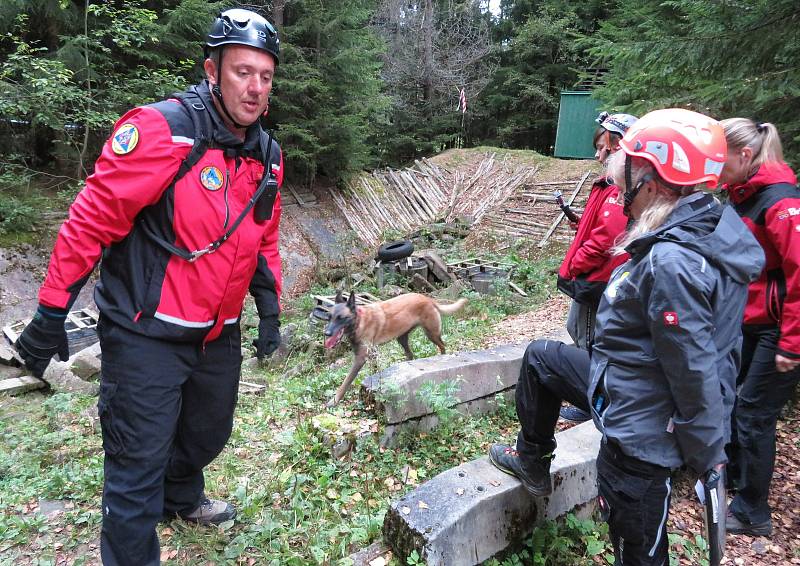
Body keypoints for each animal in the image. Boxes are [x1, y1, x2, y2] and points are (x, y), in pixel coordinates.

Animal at [322, 292, 466, 408]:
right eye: (329, 318)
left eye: (341, 318)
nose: (326, 333)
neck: (359, 321)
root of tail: (428, 299)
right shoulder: (372, 353)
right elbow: (374, 370)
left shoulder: (360, 359)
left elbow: (346, 381)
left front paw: (334, 401)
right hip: (402, 338)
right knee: (411, 354)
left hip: (432, 334)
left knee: (442, 346)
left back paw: (441, 357)